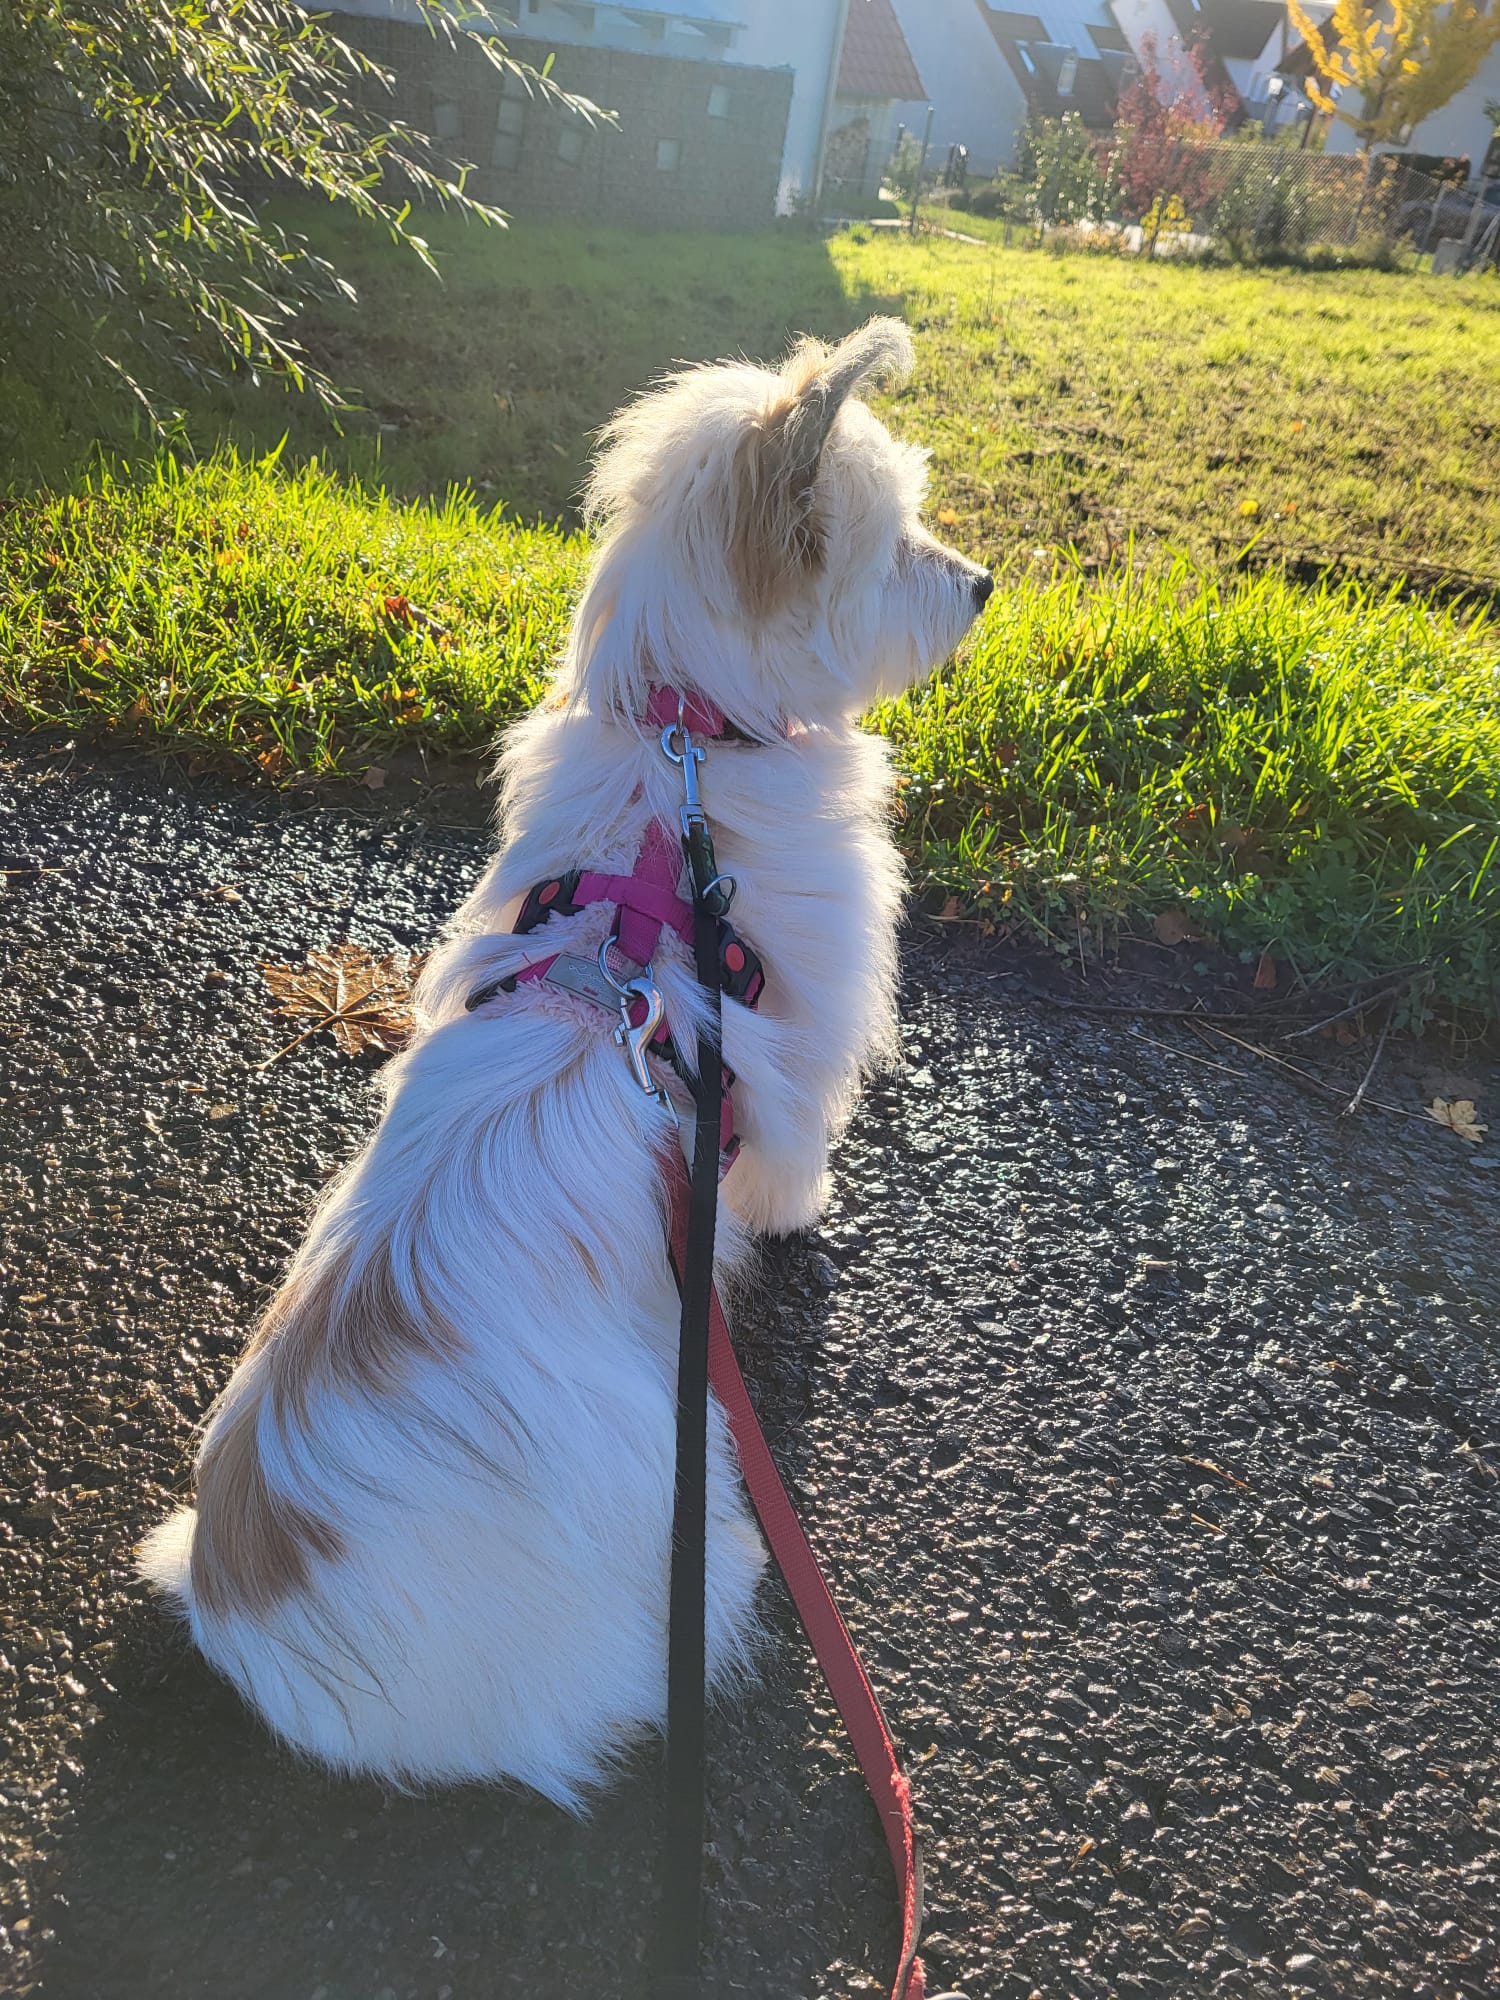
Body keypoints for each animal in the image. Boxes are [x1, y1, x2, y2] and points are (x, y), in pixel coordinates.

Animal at [141, 317, 992, 1805]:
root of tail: (257, 1612)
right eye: (898, 547)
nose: (989, 584)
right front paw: (798, 1217)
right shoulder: (800, 1048)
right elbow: (790, 1160)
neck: (685, 756)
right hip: (694, 1540)